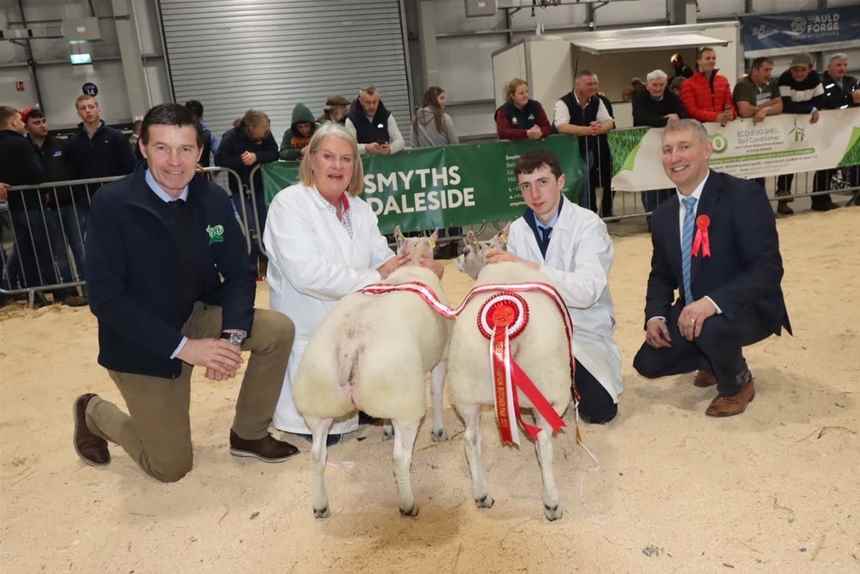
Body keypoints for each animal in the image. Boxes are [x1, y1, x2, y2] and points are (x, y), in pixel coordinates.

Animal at [292, 232, 450, 520]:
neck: (413, 264)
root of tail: (350, 343)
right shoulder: (441, 357)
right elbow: (436, 391)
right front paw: (439, 431)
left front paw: (385, 428)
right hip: (404, 401)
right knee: (400, 458)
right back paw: (408, 504)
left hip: (318, 400)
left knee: (317, 456)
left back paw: (320, 506)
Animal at [446, 231, 576, 520]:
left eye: (466, 251)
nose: (455, 259)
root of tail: (509, 337)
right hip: (552, 389)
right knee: (543, 439)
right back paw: (552, 503)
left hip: (465, 391)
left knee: (470, 440)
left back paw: (482, 495)